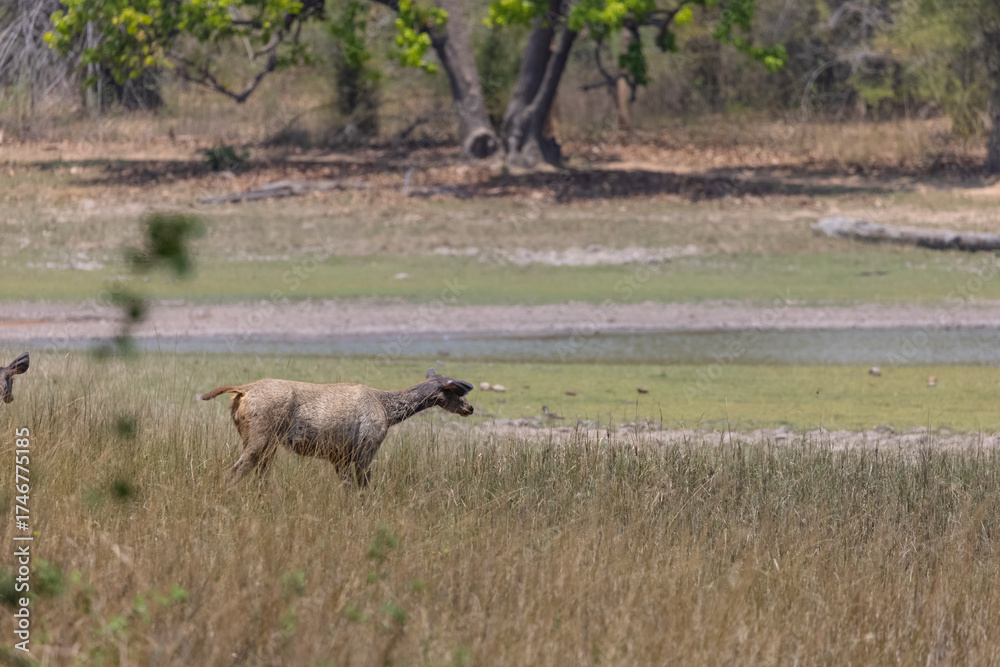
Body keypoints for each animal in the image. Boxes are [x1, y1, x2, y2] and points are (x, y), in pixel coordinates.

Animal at [200, 368, 474, 486]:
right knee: (231, 474)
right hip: (259, 439)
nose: (470, 408)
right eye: (454, 391)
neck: (388, 411)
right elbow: (364, 489)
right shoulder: (366, 450)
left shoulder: (339, 457)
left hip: (265, 445)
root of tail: (242, 391)